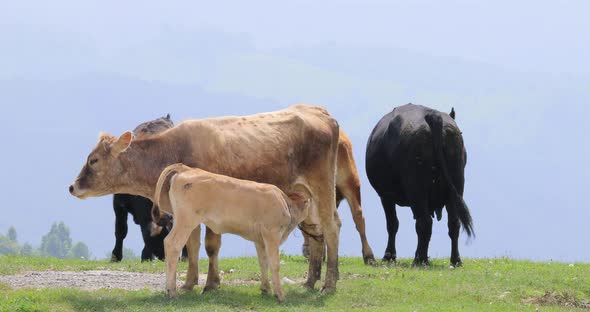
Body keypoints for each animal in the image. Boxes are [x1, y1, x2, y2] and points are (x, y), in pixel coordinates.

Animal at [109, 113, 187, 262]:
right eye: (164, 237)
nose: (165, 258)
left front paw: (145, 255)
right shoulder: (118, 204)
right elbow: (121, 230)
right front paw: (115, 256)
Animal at [150, 162, 312, 304]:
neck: (286, 204)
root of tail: (187, 168)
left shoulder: (259, 239)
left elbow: (263, 262)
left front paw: (266, 289)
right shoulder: (271, 234)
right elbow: (275, 264)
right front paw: (280, 295)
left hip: (181, 220)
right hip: (186, 221)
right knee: (172, 244)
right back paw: (172, 291)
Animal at [366, 104, 476, 266]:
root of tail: (433, 115)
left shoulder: (386, 195)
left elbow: (392, 224)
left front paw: (389, 256)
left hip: (416, 187)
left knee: (424, 222)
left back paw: (420, 260)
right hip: (457, 184)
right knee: (453, 223)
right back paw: (455, 260)